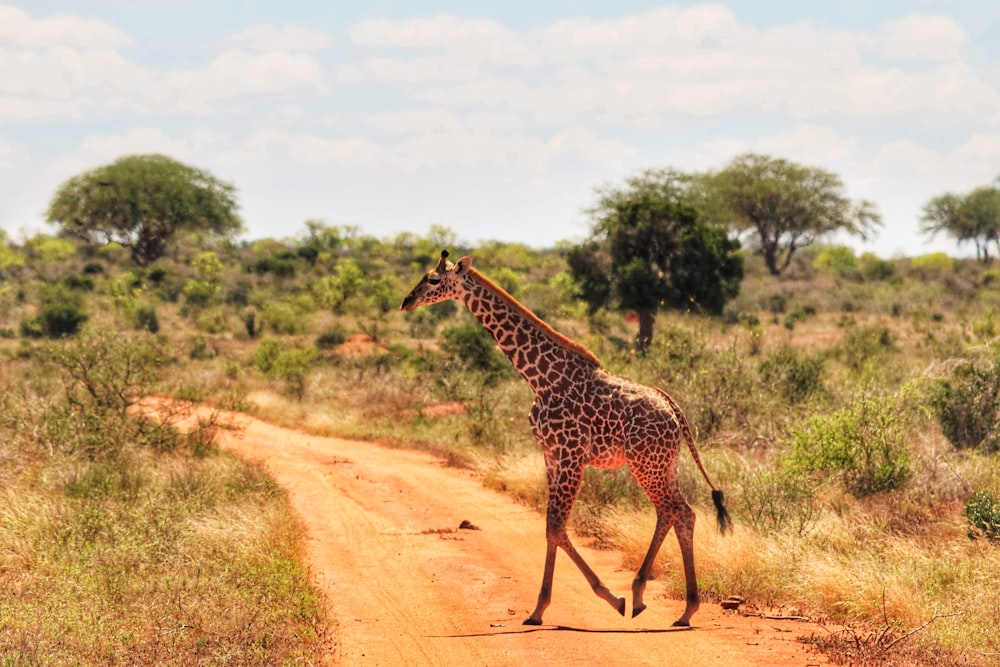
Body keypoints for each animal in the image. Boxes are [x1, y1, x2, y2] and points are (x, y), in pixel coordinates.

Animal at [400, 249, 736, 628]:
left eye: (433, 280)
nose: (406, 301)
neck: (539, 378)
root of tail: (675, 412)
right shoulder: (550, 455)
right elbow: (552, 527)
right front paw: (539, 610)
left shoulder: (571, 454)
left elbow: (557, 526)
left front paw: (608, 599)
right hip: (664, 464)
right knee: (682, 513)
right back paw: (683, 609)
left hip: (645, 464)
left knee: (672, 510)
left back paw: (644, 596)